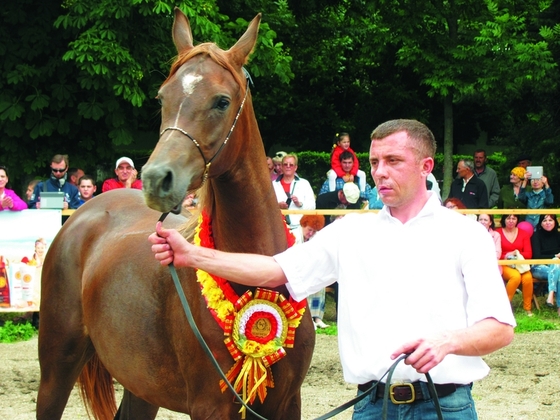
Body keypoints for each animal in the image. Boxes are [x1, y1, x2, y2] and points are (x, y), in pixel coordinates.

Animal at [36, 9, 316, 420]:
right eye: (162, 96)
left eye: (221, 101)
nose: (155, 178)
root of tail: (82, 217)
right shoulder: (209, 406)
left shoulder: (287, 403)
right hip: (57, 365)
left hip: (141, 386)